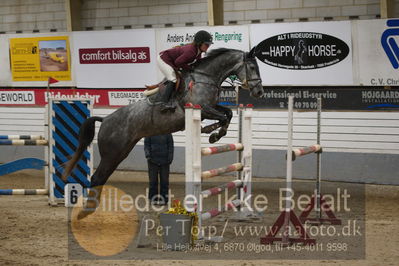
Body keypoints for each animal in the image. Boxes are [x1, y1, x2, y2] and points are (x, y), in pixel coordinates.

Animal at [64, 47, 264, 216]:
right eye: (252, 67)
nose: (259, 92)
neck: (206, 77)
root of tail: (105, 120)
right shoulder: (203, 108)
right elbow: (222, 117)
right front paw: (211, 132)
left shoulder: (212, 106)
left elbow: (228, 113)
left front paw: (214, 134)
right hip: (112, 153)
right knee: (97, 177)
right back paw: (87, 212)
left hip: (120, 153)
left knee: (101, 178)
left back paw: (92, 210)